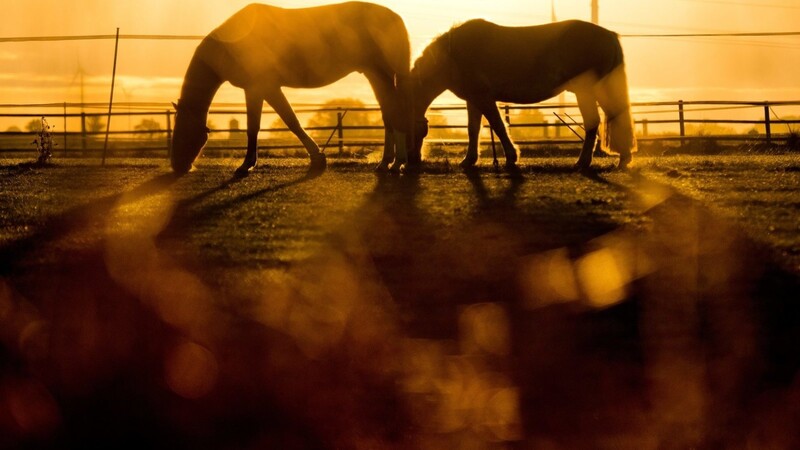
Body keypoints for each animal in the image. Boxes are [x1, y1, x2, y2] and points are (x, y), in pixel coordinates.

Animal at [175, 1, 412, 174]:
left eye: (183, 130)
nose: (178, 166)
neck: (233, 42)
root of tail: (396, 18)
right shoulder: (260, 89)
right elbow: (272, 123)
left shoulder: (261, 87)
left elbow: (281, 122)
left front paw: (247, 165)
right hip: (375, 75)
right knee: (388, 116)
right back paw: (386, 163)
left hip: (380, 74)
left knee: (396, 113)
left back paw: (397, 163)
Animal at [410, 18, 636, 171]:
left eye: (419, 132)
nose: (412, 161)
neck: (453, 54)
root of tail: (609, 35)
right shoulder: (473, 100)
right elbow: (473, 130)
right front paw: (468, 160)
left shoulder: (484, 98)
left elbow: (498, 126)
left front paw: (511, 157)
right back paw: (619, 159)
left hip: (587, 91)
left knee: (594, 123)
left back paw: (585, 162)